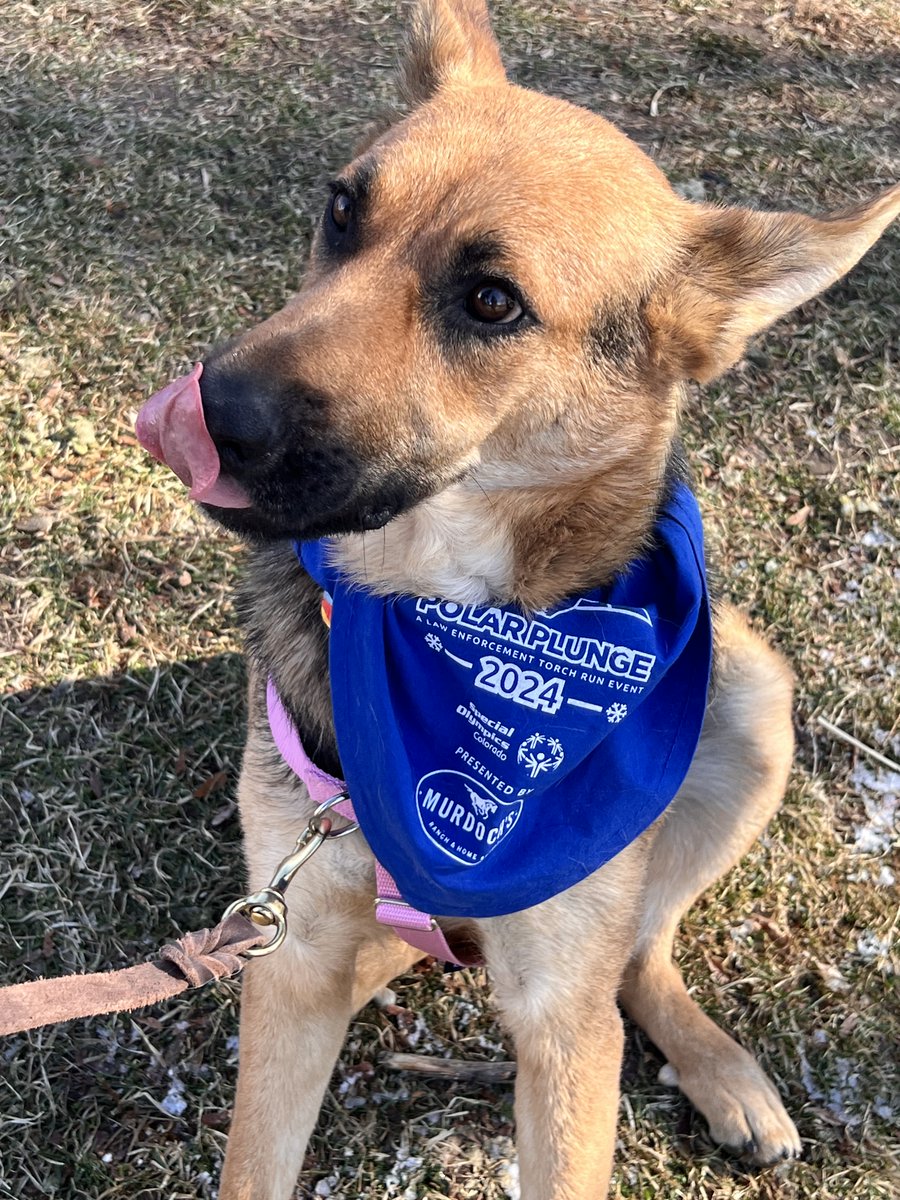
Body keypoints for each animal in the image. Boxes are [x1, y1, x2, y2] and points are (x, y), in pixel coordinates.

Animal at [135, 2, 900, 1200]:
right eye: (342, 210)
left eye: (492, 302)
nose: (208, 411)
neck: (448, 619)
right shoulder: (292, 957)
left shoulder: (559, 1027)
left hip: (752, 705)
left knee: (640, 956)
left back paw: (724, 1073)